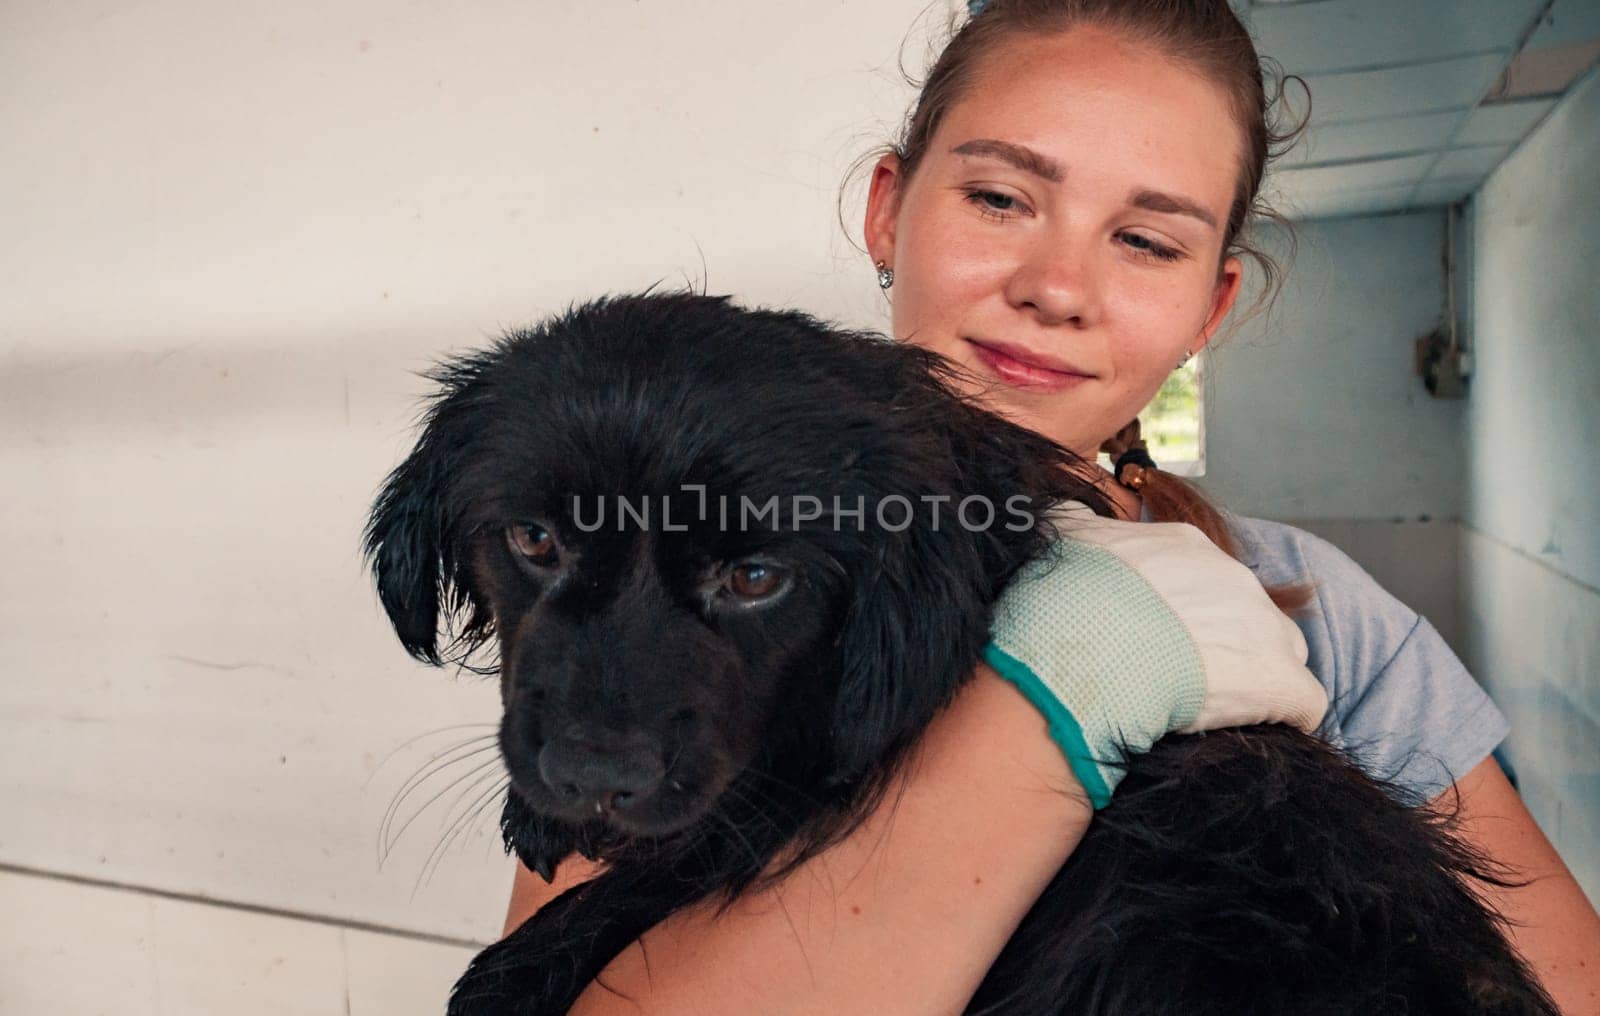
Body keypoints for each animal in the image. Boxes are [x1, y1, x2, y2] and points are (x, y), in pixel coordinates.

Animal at [366, 289, 1548, 1011]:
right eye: (533, 539)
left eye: (755, 578)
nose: (590, 777)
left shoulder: (820, 767)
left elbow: (695, 848)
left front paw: (515, 966)